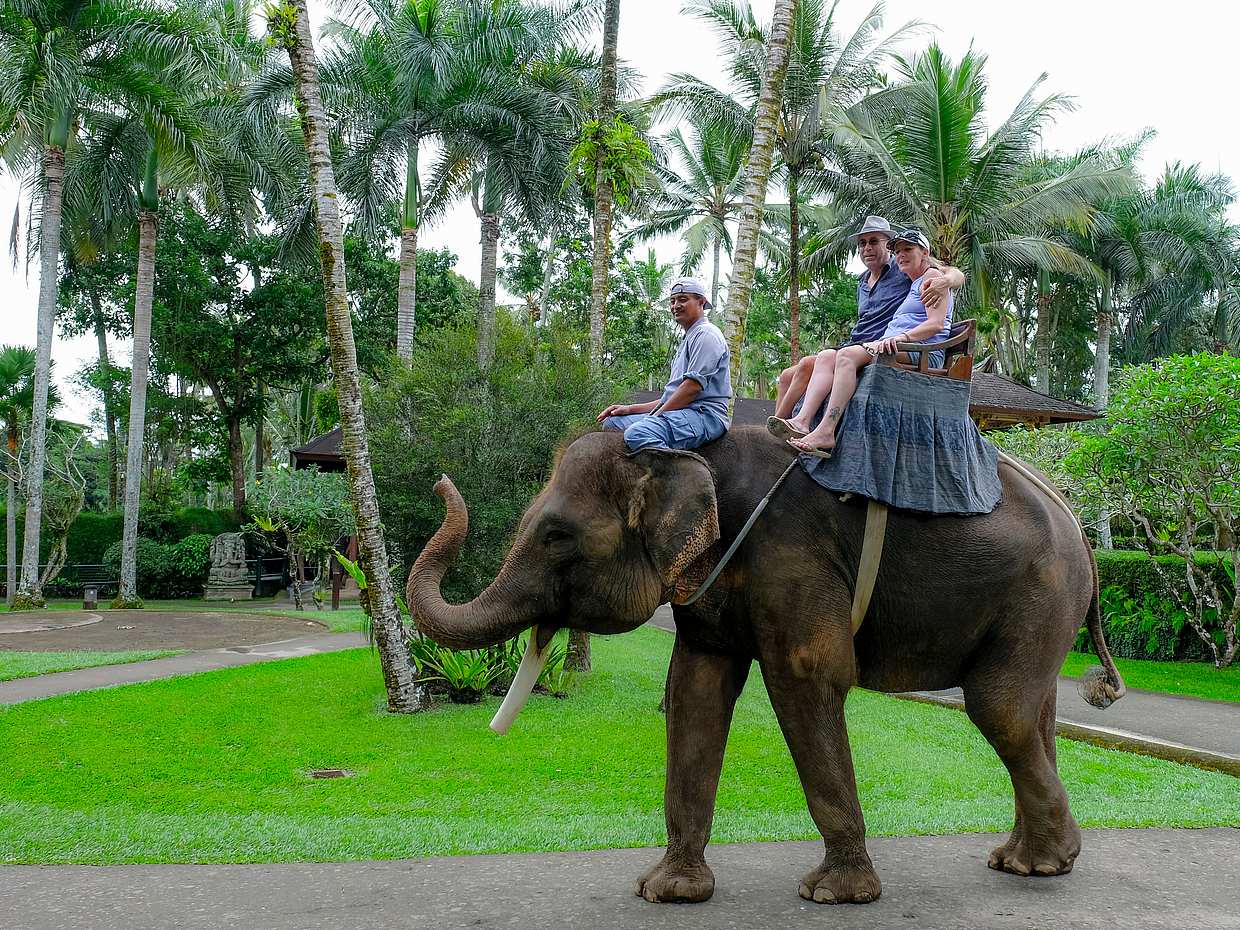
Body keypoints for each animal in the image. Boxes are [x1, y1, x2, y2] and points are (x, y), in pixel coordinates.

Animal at [407, 426, 1126, 906]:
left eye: (557, 536)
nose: (436, 480)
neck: (691, 454)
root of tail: (1078, 522)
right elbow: (696, 688)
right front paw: (666, 892)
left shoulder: (791, 557)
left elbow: (806, 679)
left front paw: (836, 895)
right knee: (1032, 713)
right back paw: (1029, 862)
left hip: (1040, 591)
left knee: (997, 707)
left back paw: (1047, 862)